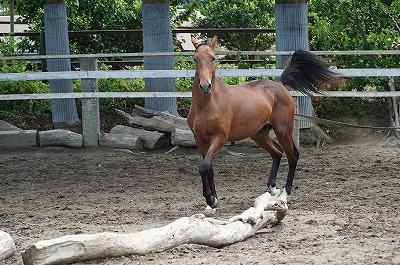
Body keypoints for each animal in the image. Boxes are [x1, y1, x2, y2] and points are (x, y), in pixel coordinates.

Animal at [188, 35, 340, 208]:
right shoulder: (200, 140)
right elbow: (209, 168)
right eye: (195, 59)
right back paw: (273, 188)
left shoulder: (219, 138)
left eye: (213, 58)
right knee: (277, 152)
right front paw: (213, 201)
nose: (205, 86)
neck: (208, 105)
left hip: (283, 131)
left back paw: (285, 194)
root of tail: (280, 85)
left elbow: (204, 167)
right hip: (259, 134)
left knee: (293, 155)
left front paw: (210, 199)